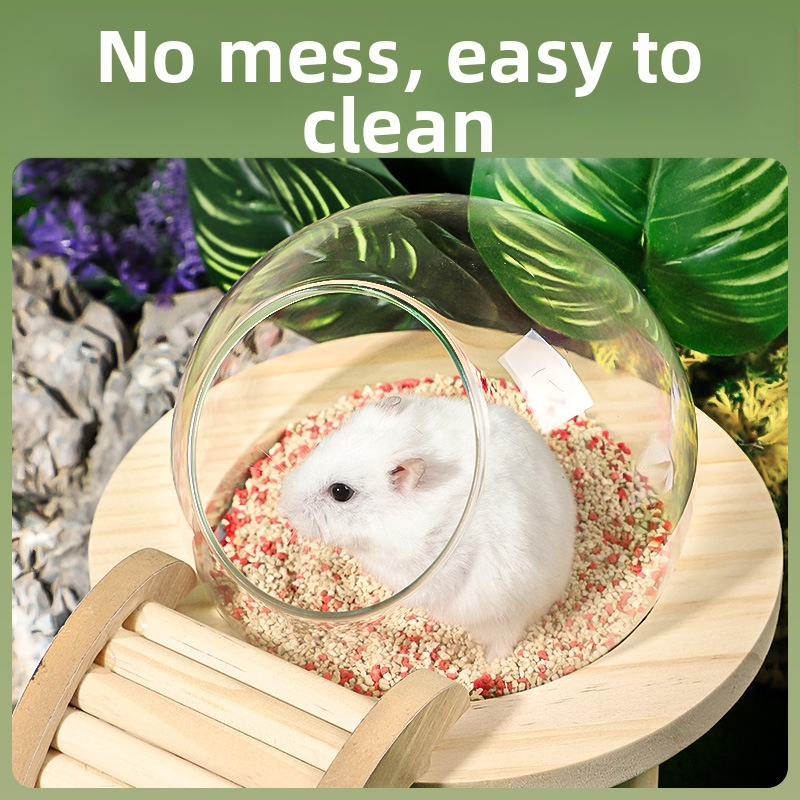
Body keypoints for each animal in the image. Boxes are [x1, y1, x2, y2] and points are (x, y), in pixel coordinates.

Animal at [277, 393, 577, 661]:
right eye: (318, 445)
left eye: (340, 492)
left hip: (500, 612)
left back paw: (492, 662)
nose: (283, 508)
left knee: (505, 639)